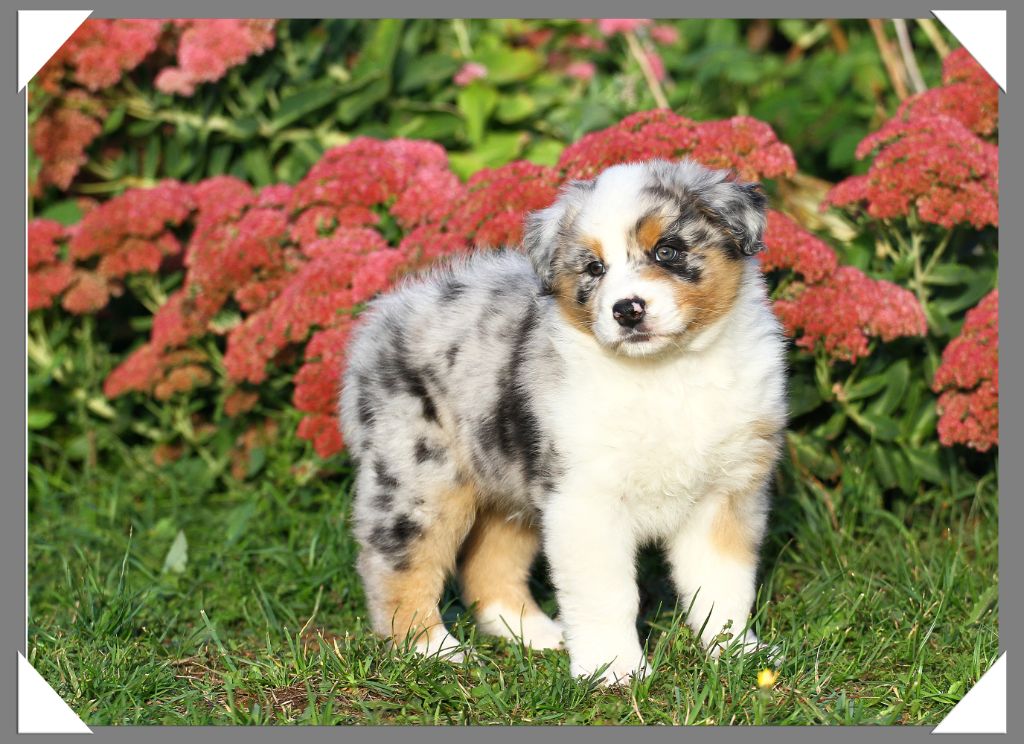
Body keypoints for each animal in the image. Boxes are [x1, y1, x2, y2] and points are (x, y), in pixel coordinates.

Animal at [338, 158, 788, 685]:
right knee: (396, 564)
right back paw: (433, 651)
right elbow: (608, 594)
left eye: (668, 250)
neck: (666, 371)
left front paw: (736, 653)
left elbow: (723, 583)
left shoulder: (726, 492)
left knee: (488, 563)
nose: (627, 310)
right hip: (420, 479)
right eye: (594, 268)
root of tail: (378, 323)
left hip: (507, 479)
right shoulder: (586, 500)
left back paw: (534, 633)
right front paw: (614, 670)